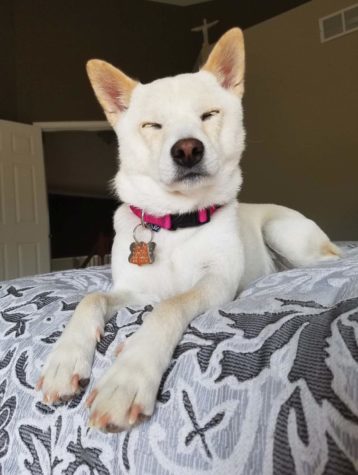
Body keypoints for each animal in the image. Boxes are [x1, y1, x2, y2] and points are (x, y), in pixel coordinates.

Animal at [37, 27, 342, 434]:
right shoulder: (132, 290)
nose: (187, 150)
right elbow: (91, 299)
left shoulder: (215, 284)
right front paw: (64, 359)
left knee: (329, 258)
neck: (175, 220)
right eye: (152, 125)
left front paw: (127, 375)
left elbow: (169, 306)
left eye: (209, 115)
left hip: (284, 233)